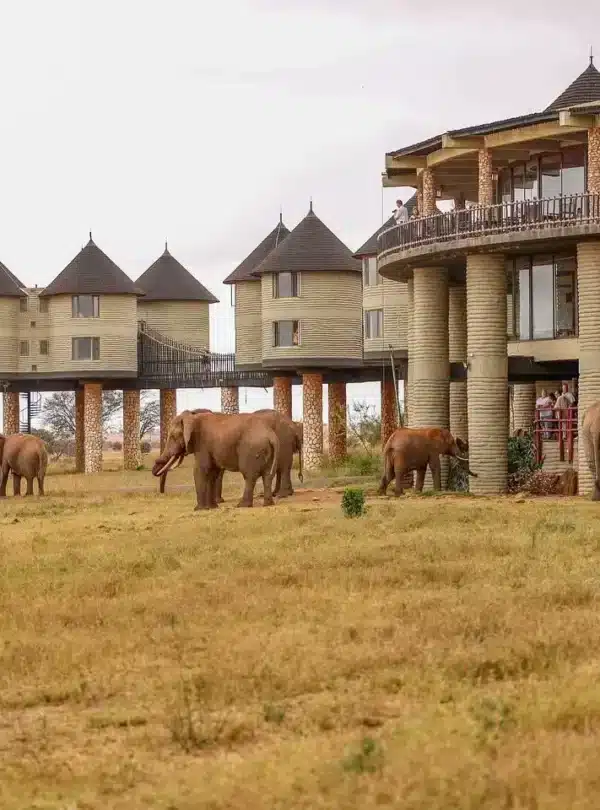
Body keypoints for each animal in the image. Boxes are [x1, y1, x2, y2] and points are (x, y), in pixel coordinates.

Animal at [158, 408, 303, 501]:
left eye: (173, 437)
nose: (162, 494)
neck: (193, 416)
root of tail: (293, 426)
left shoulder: (204, 443)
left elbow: (205, 469)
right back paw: (276, 495)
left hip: (279, 441)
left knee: (279, 467)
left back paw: (280, 496)